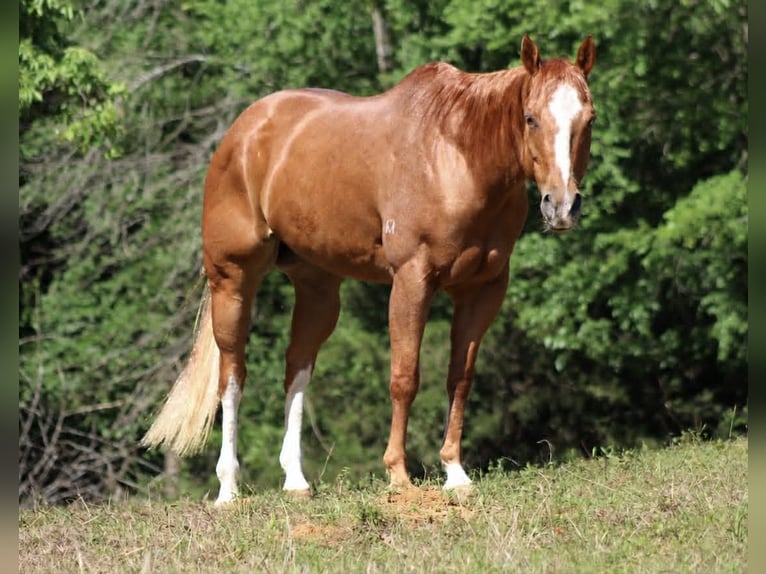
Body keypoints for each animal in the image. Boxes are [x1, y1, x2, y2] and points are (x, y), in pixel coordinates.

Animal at [142, 35, 596, 505]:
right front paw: (398, 473)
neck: (455, 159)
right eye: (530, 118)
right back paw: (228, 489)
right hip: (233, 280)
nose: (562, 206)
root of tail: (243, 130)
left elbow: (460, 378)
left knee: (296, 368)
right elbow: (404, 376)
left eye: (589, 118)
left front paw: (454, 471)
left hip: (318, 289)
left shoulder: (483, 289)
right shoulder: (412, 280)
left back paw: (296, 481)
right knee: (232, 376)